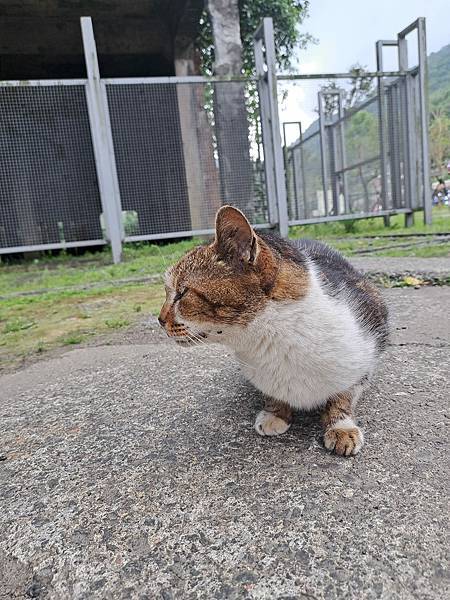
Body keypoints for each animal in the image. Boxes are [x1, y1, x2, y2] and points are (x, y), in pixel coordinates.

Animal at [158, 205, 386, 454]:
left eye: (182, 293)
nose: (159, 319)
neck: (276, 338)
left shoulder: (367, 348)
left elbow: (344, 394)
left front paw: (341, 426)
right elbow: (272, 394)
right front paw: (275, 413)